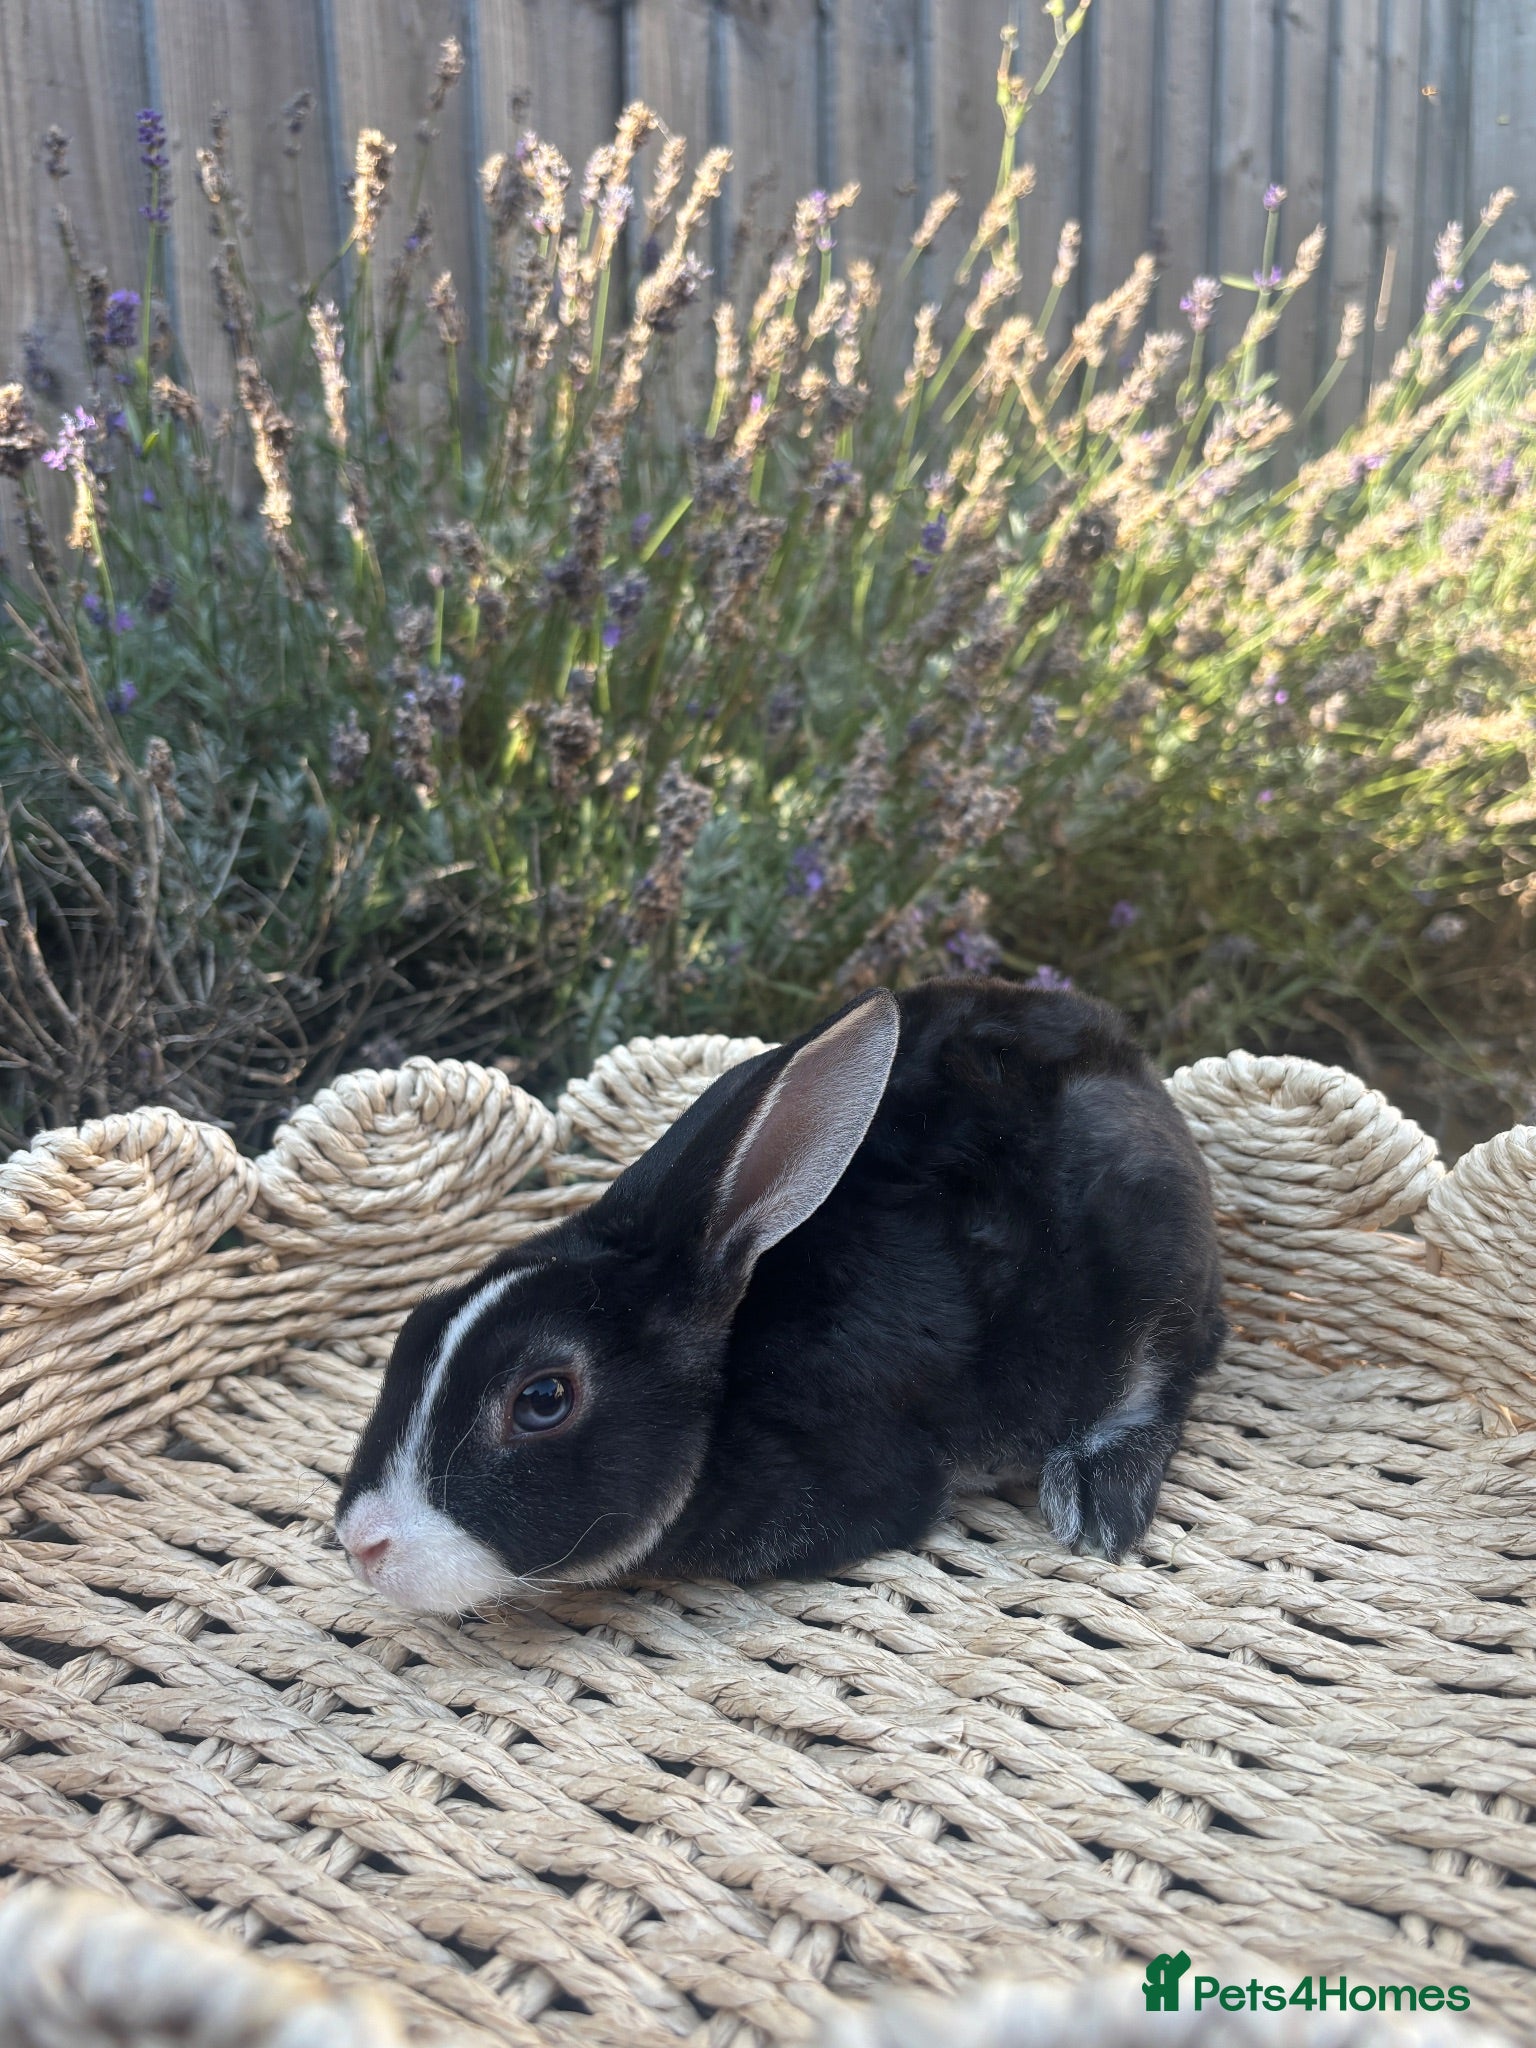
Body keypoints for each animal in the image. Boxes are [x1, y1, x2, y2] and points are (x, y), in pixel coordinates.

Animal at [335, 976, 1226, 1613]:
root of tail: (1137, 1071)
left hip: (1151, 1270)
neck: (728, 1378)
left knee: (1163, 1373)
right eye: (412, 1330)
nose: (361, 1543)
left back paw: (1098, 1498)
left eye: (543, 1398)